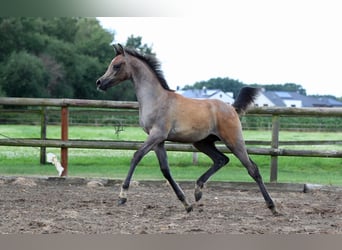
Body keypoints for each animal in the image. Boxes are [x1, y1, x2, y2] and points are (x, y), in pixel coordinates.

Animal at [96, 43, 278, 215]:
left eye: (117, 65)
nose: (99, 82)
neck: (157, 99)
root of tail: (232, 108)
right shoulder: (159, 141)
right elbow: (165, 169)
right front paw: (186, 204)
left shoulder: (156, 135)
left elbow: (136, 156)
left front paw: (122, 196)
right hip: (202, 143)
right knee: (221, 159)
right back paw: (198, 191)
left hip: (233, 140)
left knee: (252, 169)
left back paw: (272, 206)